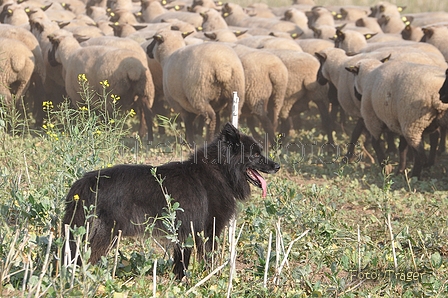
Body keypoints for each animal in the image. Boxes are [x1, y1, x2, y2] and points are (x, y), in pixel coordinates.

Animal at [63, 122, 280, 278]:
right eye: (255, 154)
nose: (277, 166)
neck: (220, 170)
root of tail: (85, 182)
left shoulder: (185, 233)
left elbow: (181, 262)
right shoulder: (207, 230)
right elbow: (207, 259)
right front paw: (209, 280)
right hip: (104, 234)